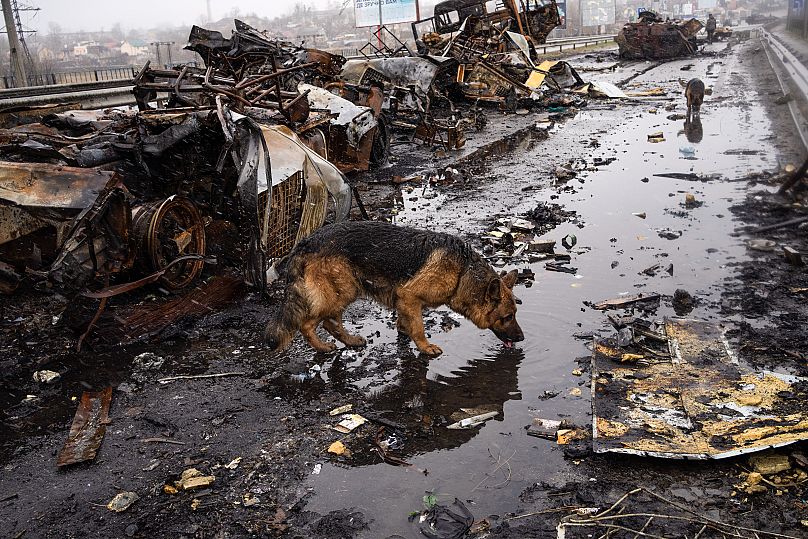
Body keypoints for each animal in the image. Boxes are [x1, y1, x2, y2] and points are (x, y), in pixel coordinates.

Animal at [266, 221, 524, 356]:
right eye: (507, 317)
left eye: (514, 314)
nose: (522, 338)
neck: (463, 271)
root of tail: (304, 242)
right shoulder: (409, 296)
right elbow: (419, 327)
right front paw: (425, 347)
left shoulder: (404, 301)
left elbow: (405, 321)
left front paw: (403, 331)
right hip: (343, 291)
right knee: (309, 323)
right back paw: (322, 347)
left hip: (344, 290)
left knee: (330, 323)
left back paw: (350, 341)